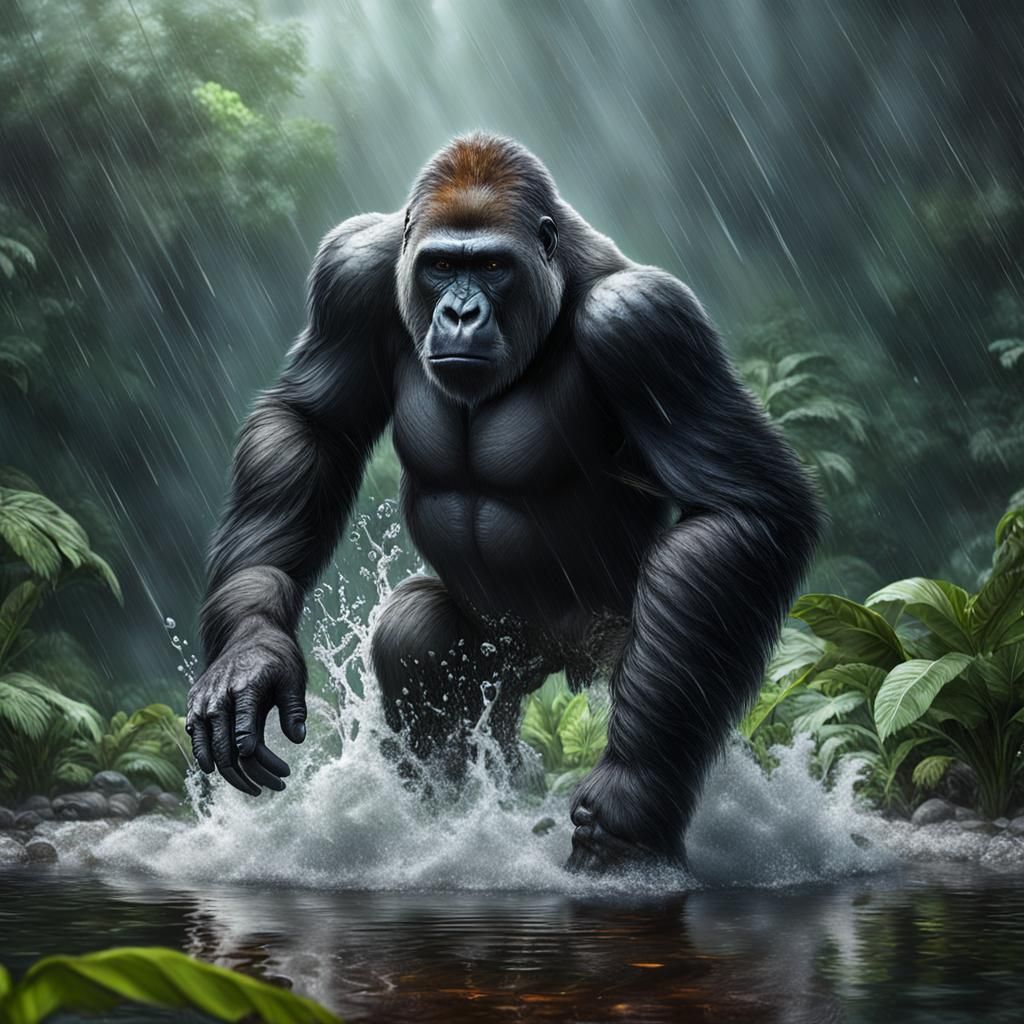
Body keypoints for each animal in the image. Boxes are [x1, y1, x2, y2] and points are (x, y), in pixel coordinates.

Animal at [186, 132, 824, 873]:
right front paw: (252, 655)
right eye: (441, 267)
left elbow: (739, 508)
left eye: (492, 267)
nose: (462, 313)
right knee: (419, 635)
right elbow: (311, 426)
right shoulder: (350, 274)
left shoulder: (646, 324)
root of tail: (555, 659)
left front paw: (629, 796)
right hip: (503, 651)